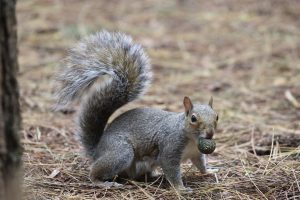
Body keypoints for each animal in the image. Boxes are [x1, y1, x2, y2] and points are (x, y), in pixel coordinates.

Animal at [54, 30, 218, 191]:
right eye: (193, 118)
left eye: (216, 117)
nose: (210, 134)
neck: (191, 139)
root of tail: (97, 151)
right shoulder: (170, 147)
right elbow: (171, 169)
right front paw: (180, 188)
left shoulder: (196, 153)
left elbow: (201, 165)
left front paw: (210, 171)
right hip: (121, 152)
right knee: (95, 171)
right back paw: (102, 182)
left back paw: (153, 176)